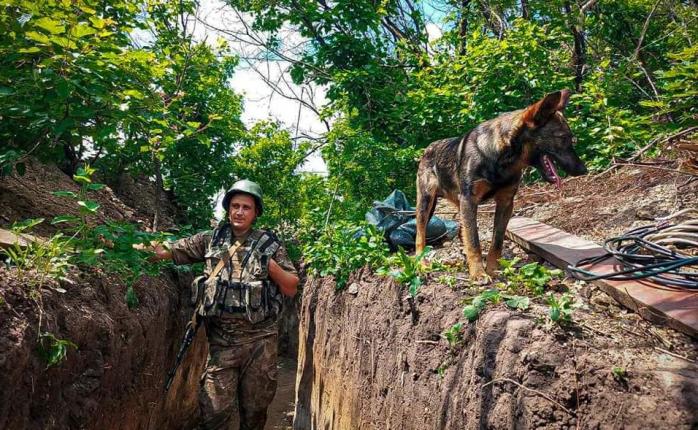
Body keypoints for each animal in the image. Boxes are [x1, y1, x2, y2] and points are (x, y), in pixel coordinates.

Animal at [416, 90, 584, 282]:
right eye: (562, 138)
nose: (583, 169)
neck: (501, 158)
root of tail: (428, 148)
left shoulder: (505, 203)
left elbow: (497, 240)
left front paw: (492, 268)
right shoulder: (470, 201)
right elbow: (474, 240)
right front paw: (478, 273)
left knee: (460, 231)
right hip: (426, 203)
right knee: (420, 235)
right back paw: (421, 262)